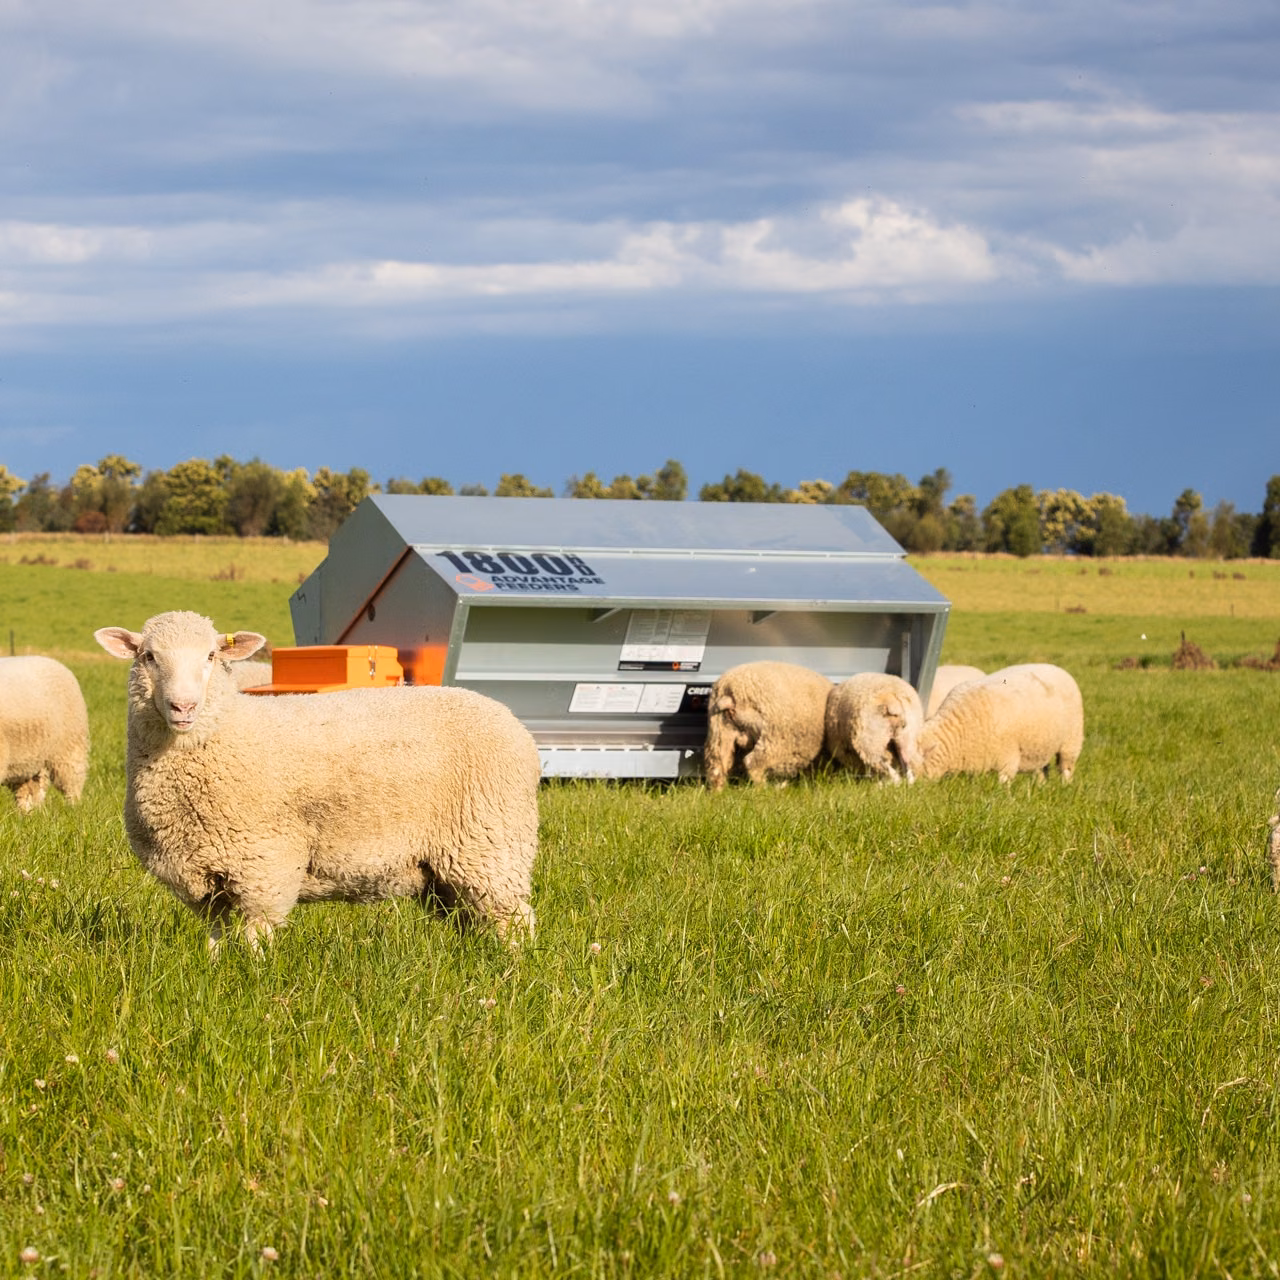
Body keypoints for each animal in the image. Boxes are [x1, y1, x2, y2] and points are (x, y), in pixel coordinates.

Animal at [0, 655, 89, 812]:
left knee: (73, 785)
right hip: (28, 760)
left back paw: (74, 810)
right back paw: (29, 814)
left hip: (69, 747)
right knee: (31, 790)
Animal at [94, 610, 540, 954]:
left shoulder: (265, 864)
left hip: (490, 844)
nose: (183, 706)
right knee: (473, 919)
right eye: (149, 656)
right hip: (446, 871)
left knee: (516, 919)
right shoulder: (201, 875)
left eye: (210, 655)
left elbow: (256, 936)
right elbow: (215, 933)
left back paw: (512, 970)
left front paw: (252, 978)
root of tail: (512, 721)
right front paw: (214, 968)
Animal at [704, 660, 833, 791]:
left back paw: (718, 791)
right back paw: (764, 789)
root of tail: (729, 688)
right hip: (772, 736)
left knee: (716, 767)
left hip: (720, 731)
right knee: (752, 763)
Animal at [918, 662, 1083, 784]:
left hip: (1071, 742)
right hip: (1040, 745)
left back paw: (1065, 786)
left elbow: (1004, 783)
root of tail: (1058, 668)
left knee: (1066, 768)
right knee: (1042, 769)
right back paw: (1040, 786)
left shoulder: (1008, 755)